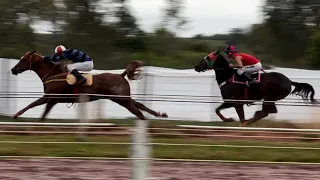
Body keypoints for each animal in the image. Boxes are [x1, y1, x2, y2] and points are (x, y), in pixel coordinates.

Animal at [10, 50, 169, 121]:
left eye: (23, 59)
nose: (13, 70)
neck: (53, 75)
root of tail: (120, 75)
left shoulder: (50, 98)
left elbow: (36, 108)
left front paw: (17, 115)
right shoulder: (51, 99)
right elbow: (36, 108)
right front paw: (17, 114)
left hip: (122, 99)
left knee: (138, 112)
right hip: (123, 98)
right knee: (140, 106)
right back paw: (160, 114)